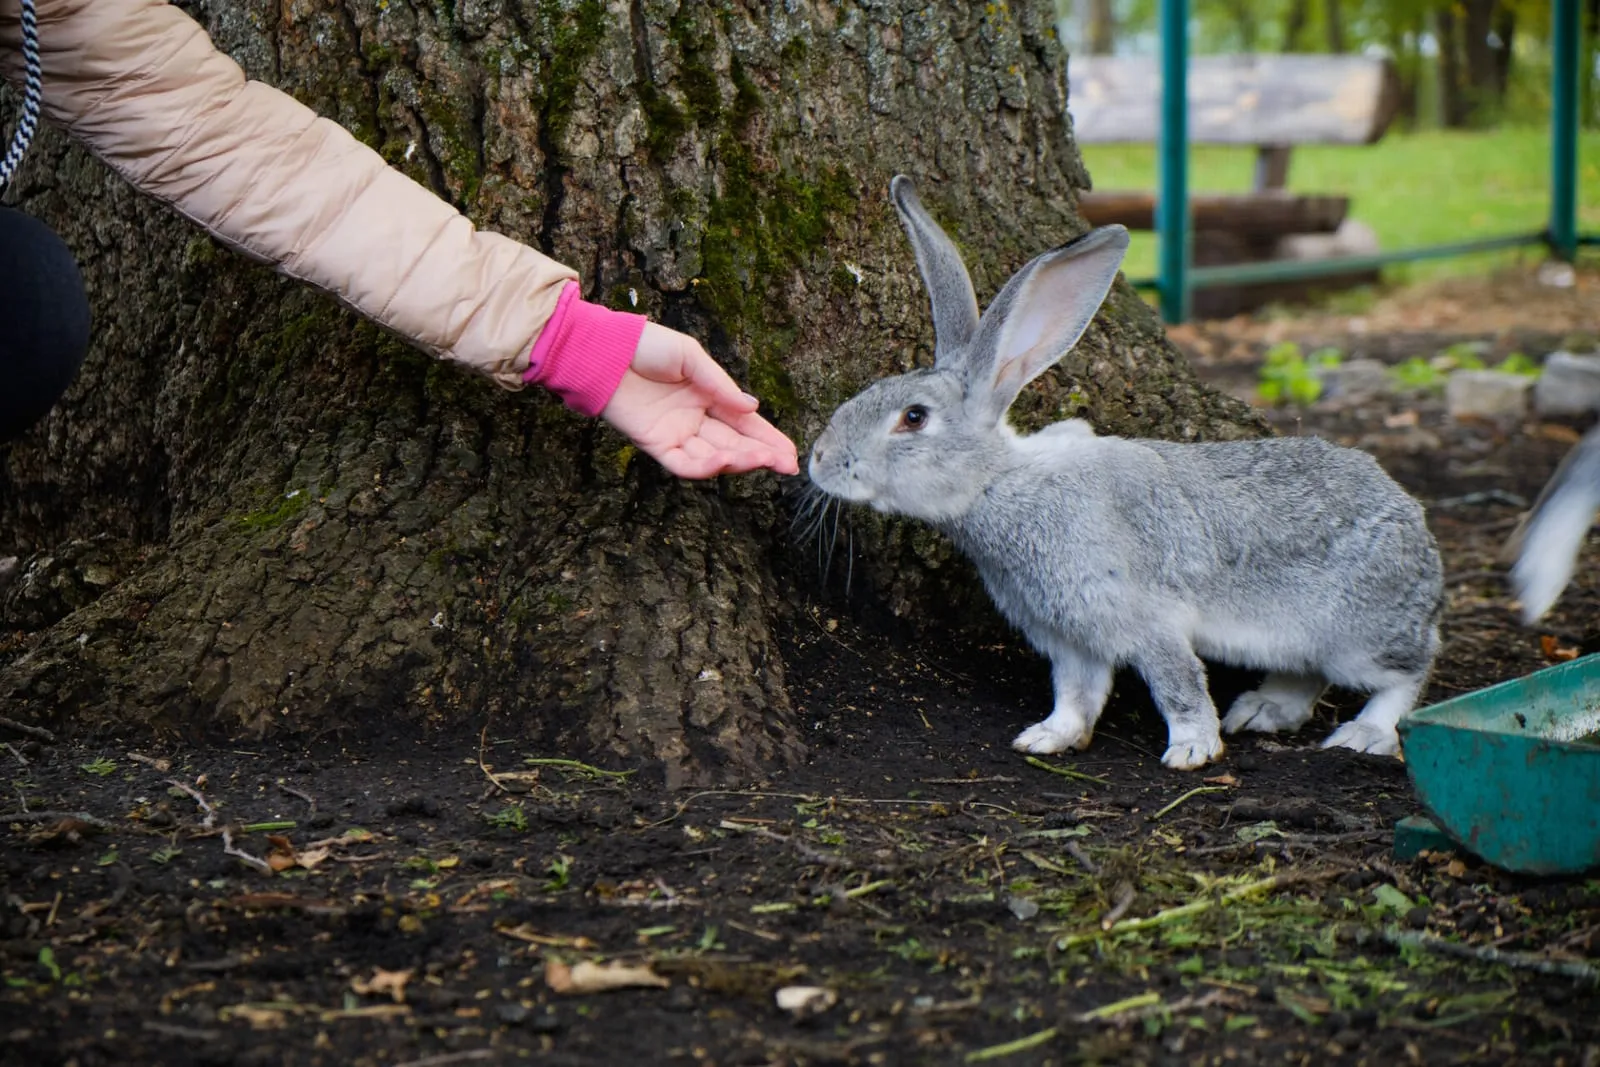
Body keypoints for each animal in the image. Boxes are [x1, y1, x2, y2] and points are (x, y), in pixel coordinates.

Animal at [807, 176, 1444, 770]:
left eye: (913, 418)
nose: (818, 458)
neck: (999, 481)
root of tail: (1418, 531)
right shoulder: (1071, 638)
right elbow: (1076, 695)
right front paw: (1047, 738)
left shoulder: (1142, 618)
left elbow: (1177, 684)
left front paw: (1191, 750)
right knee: (1307, 674)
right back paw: (1263, 710)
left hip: (1357, 634)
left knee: (1409, 671)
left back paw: (1363, 733)